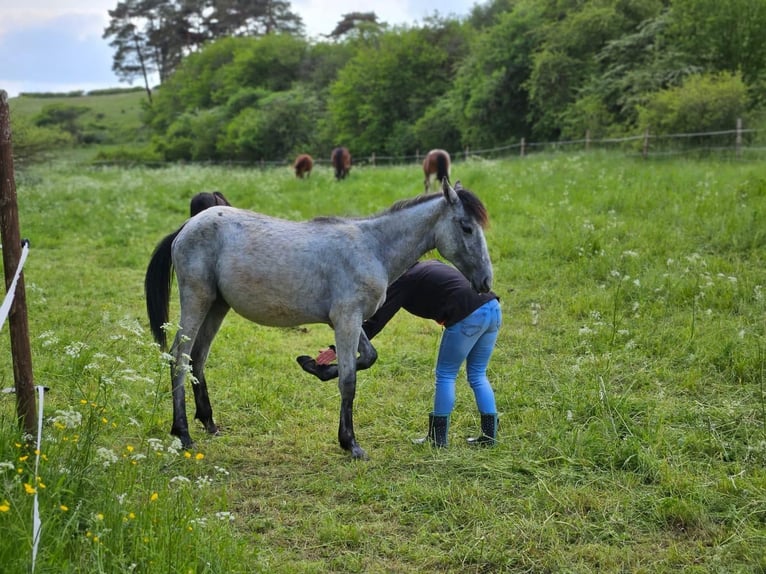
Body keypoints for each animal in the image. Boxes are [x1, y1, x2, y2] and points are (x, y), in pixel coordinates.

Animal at [144, 182, 492, 462]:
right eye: (466, 227)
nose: (486, 281)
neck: (372, 247)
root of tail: (187, 226)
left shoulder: (350, 320)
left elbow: (367, 357)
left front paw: (315, 366)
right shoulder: (347, 319)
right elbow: (349, 381)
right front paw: (350, 443)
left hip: (217, 306)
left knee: (197, 357)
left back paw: (209, 423)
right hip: (197, 299)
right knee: (179, 357)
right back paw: (183, 433)